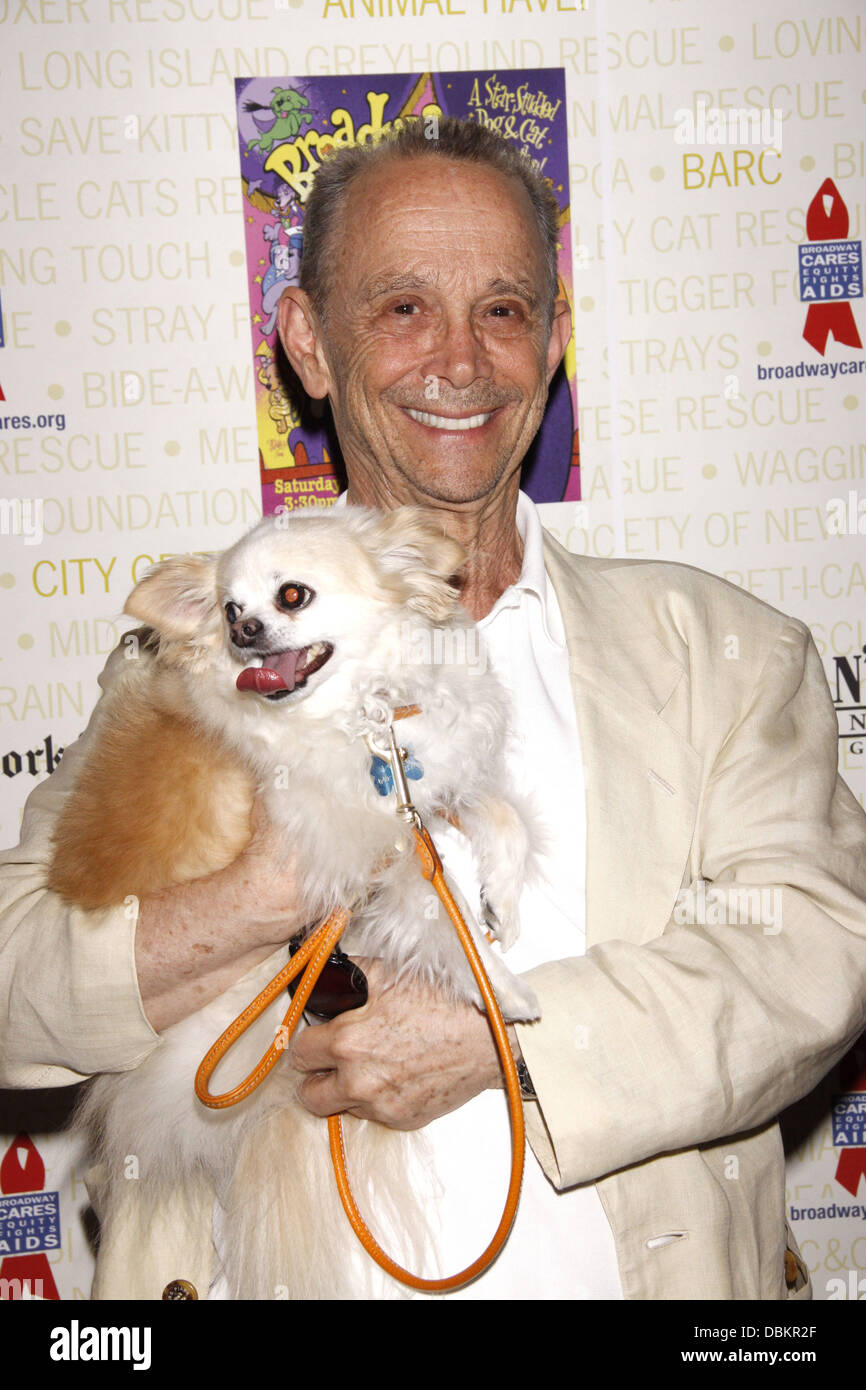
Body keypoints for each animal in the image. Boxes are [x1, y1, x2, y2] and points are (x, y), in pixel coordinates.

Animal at [50, 508, 539, 1301]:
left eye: (291, 597)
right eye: (227, 612)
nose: (246, 629)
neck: (362, 716)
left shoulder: (417, 794)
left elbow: (500, 815)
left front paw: (504, 898)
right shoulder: (355, 853)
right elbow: (441, 916)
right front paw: (498, 986)